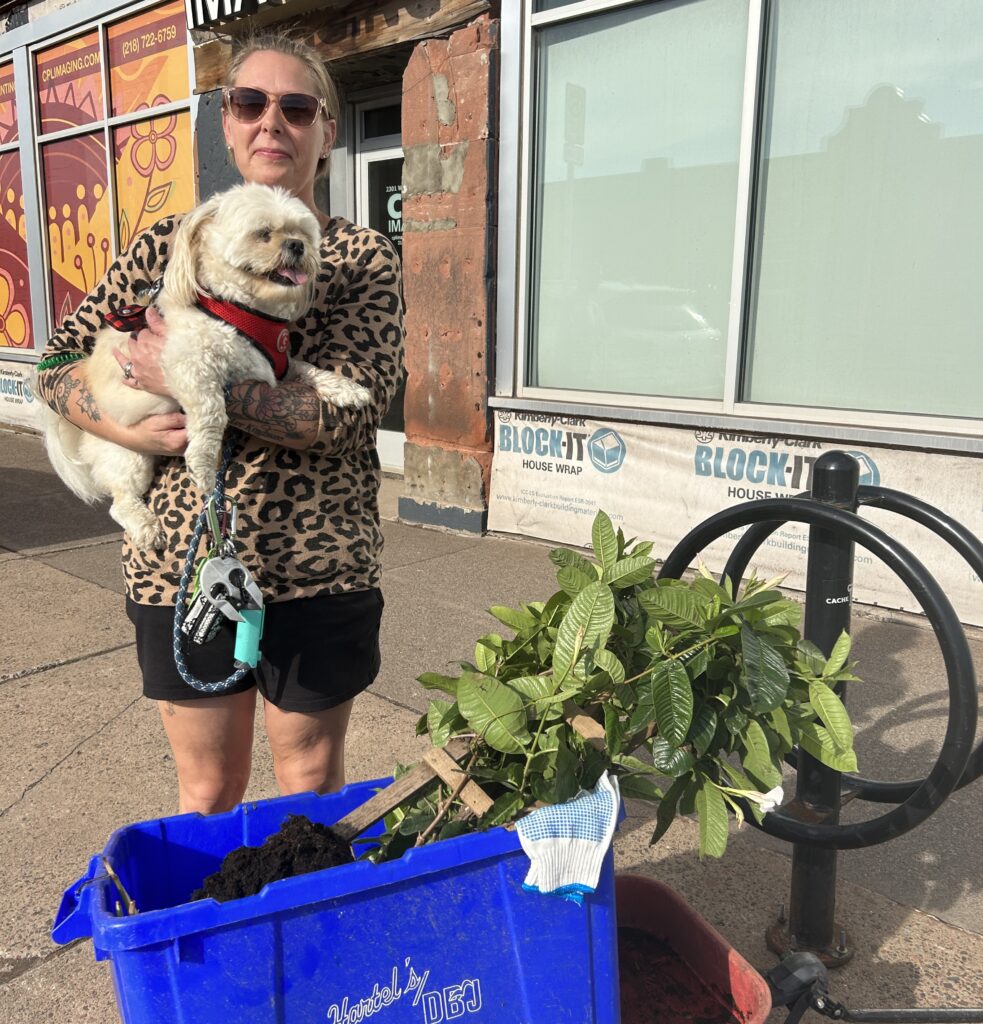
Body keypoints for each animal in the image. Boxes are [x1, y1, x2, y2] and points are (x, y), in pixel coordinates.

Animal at [42, 184, 368, 552]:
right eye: (263, 233)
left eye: (301, 233)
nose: (296, 246)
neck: (240, 309)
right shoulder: (189, 366)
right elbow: (212, 411)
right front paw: (202, 462)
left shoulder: (278, 365)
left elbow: (307, 368)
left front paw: (345, 388)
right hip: (127, 453)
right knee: (121, 501)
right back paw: (145, 526)